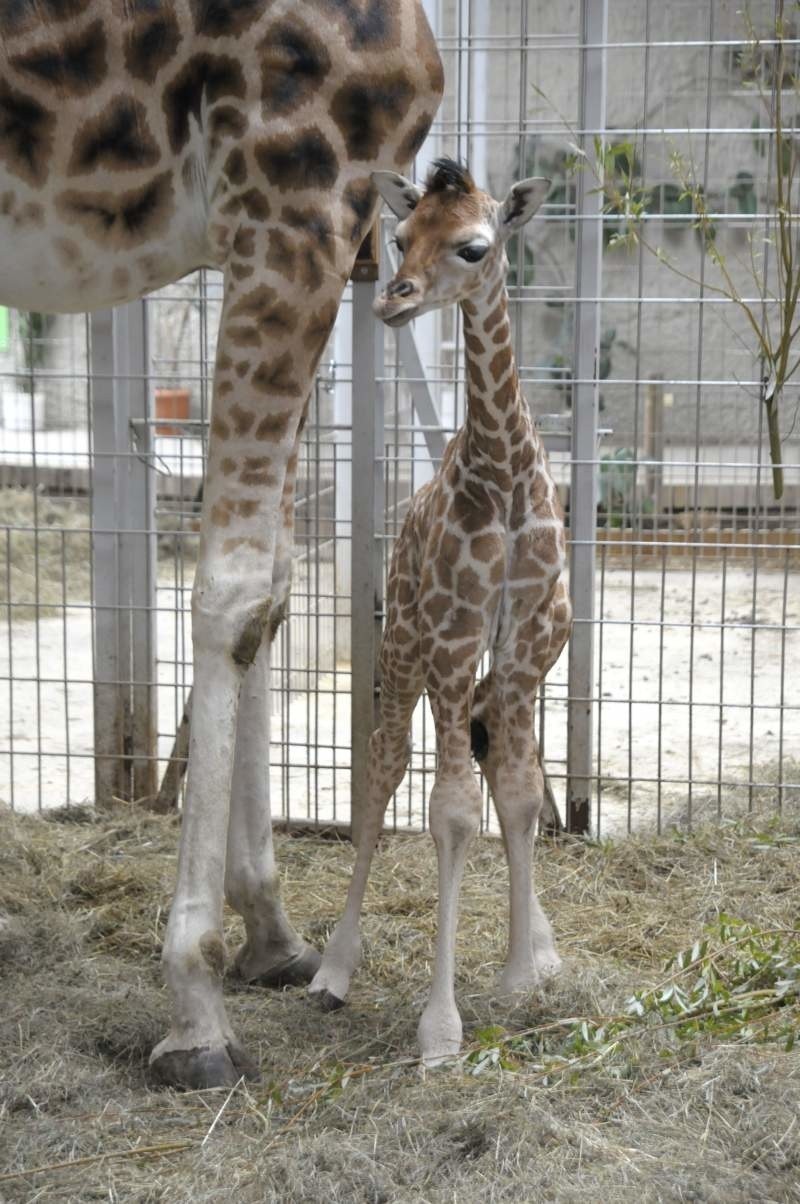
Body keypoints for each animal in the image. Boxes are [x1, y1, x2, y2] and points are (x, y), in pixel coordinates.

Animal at [0, 2, 443, 1093]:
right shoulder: (294, 202)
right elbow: (234, 595)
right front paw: (194, 1006)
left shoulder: (292, 225)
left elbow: (275, 594)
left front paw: (272, 934)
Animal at [308, 157, 571, 1064]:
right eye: (397, 236)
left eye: (474, 246)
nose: (394, 300)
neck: (506, 479)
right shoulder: (456, 641)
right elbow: (451, 814)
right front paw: (440, 1027)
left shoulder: (525, 641)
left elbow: (520, 796)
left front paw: (525, 972)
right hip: (402, 653)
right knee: (380, 777)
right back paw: (333, 970)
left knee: (488, 751)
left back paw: (543, 945)